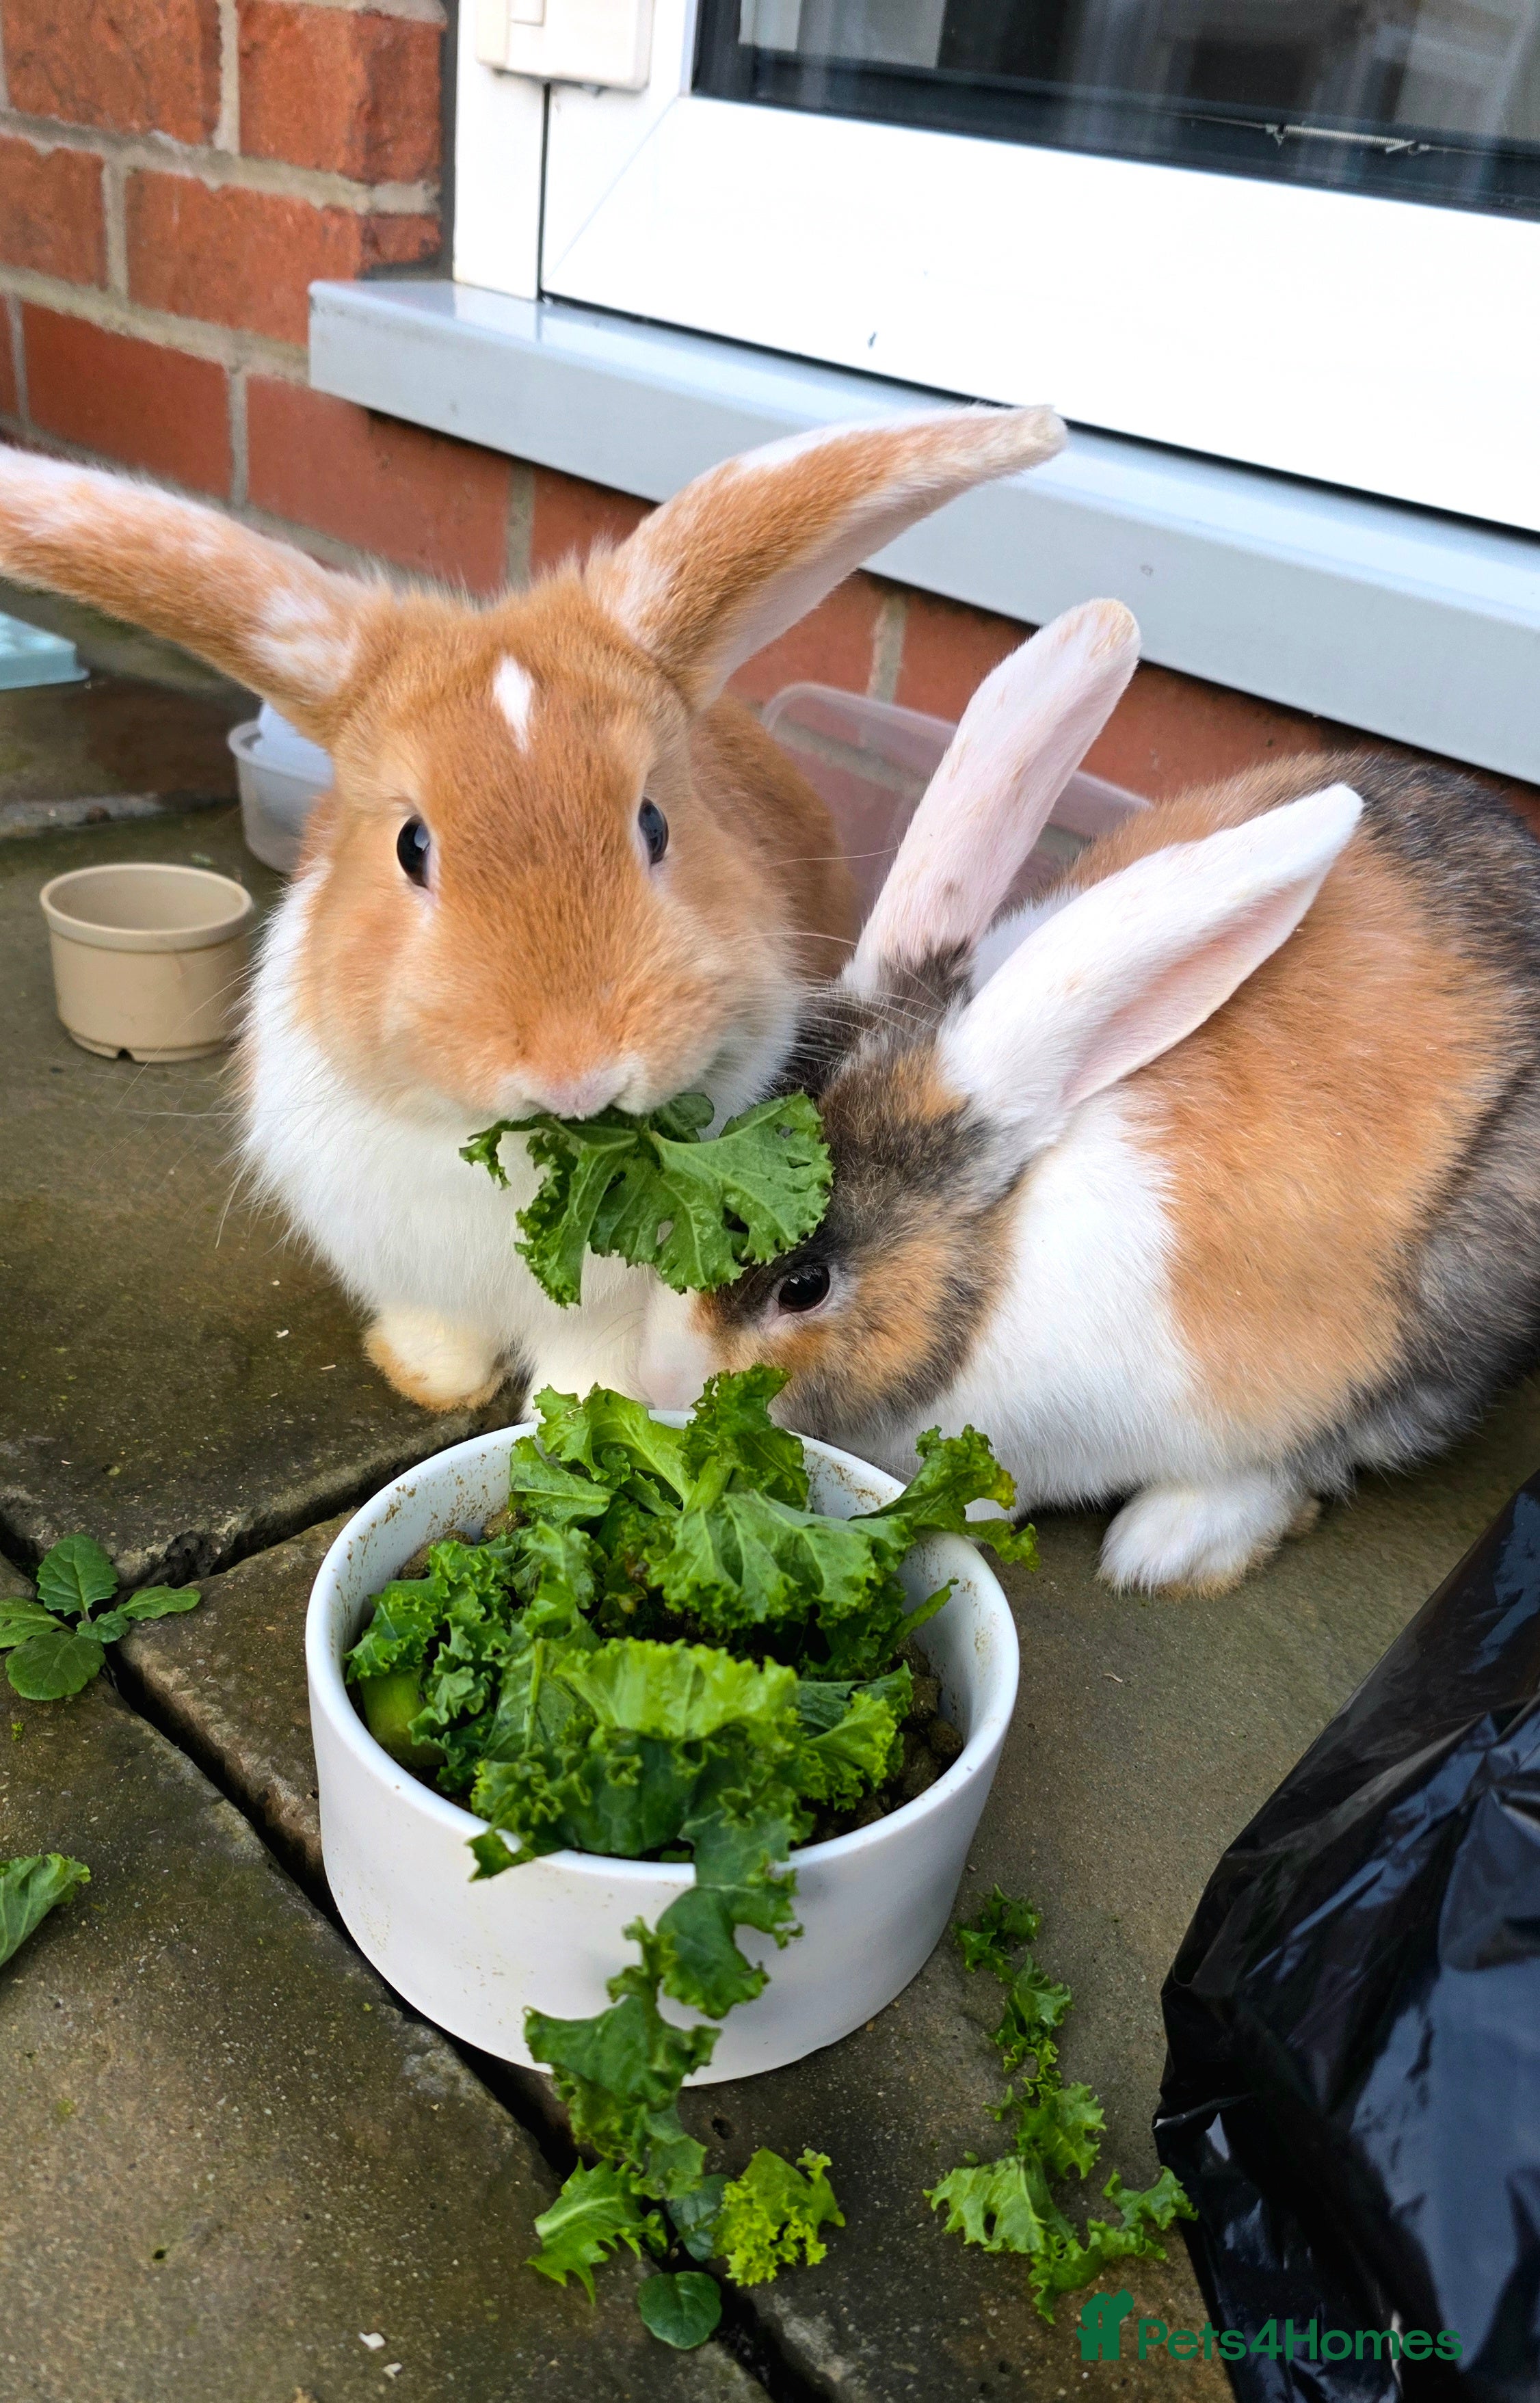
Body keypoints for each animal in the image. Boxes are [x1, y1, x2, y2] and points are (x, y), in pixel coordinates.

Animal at [0, 404, 1065, 1409]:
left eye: (653, 822)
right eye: (411, 845)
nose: (576, 1072)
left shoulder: (617, 1312)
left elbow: (589, 1367)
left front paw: (584, 1408)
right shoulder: (404, 1263)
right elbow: (439, 1326)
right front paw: (424, 1379)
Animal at [639, 597, 1540, 1594]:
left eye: (804, 1286)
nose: (658, 1382)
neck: (997, 1243)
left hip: (1444, 1302)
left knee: (1330, 1443)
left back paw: (1169, 1543)